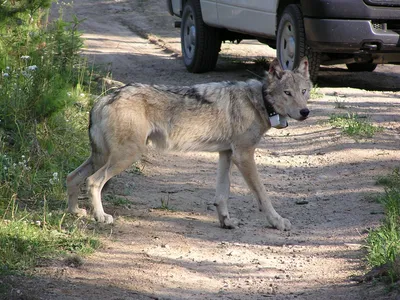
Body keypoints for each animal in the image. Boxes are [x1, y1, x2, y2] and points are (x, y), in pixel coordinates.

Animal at [66, 57, 312, 231]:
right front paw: (277, 222)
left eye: (304, 91)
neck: (258, 101)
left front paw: (226, 221)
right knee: (93, 181)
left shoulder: (226, 154)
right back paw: (101, 217)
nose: (305, 112)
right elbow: (262, 194)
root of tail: (104, 98)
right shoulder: (244, 156)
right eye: (287, 93)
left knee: (72, 177)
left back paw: (75, 212)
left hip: (102, 157)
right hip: (125, 157)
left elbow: (222, 194)